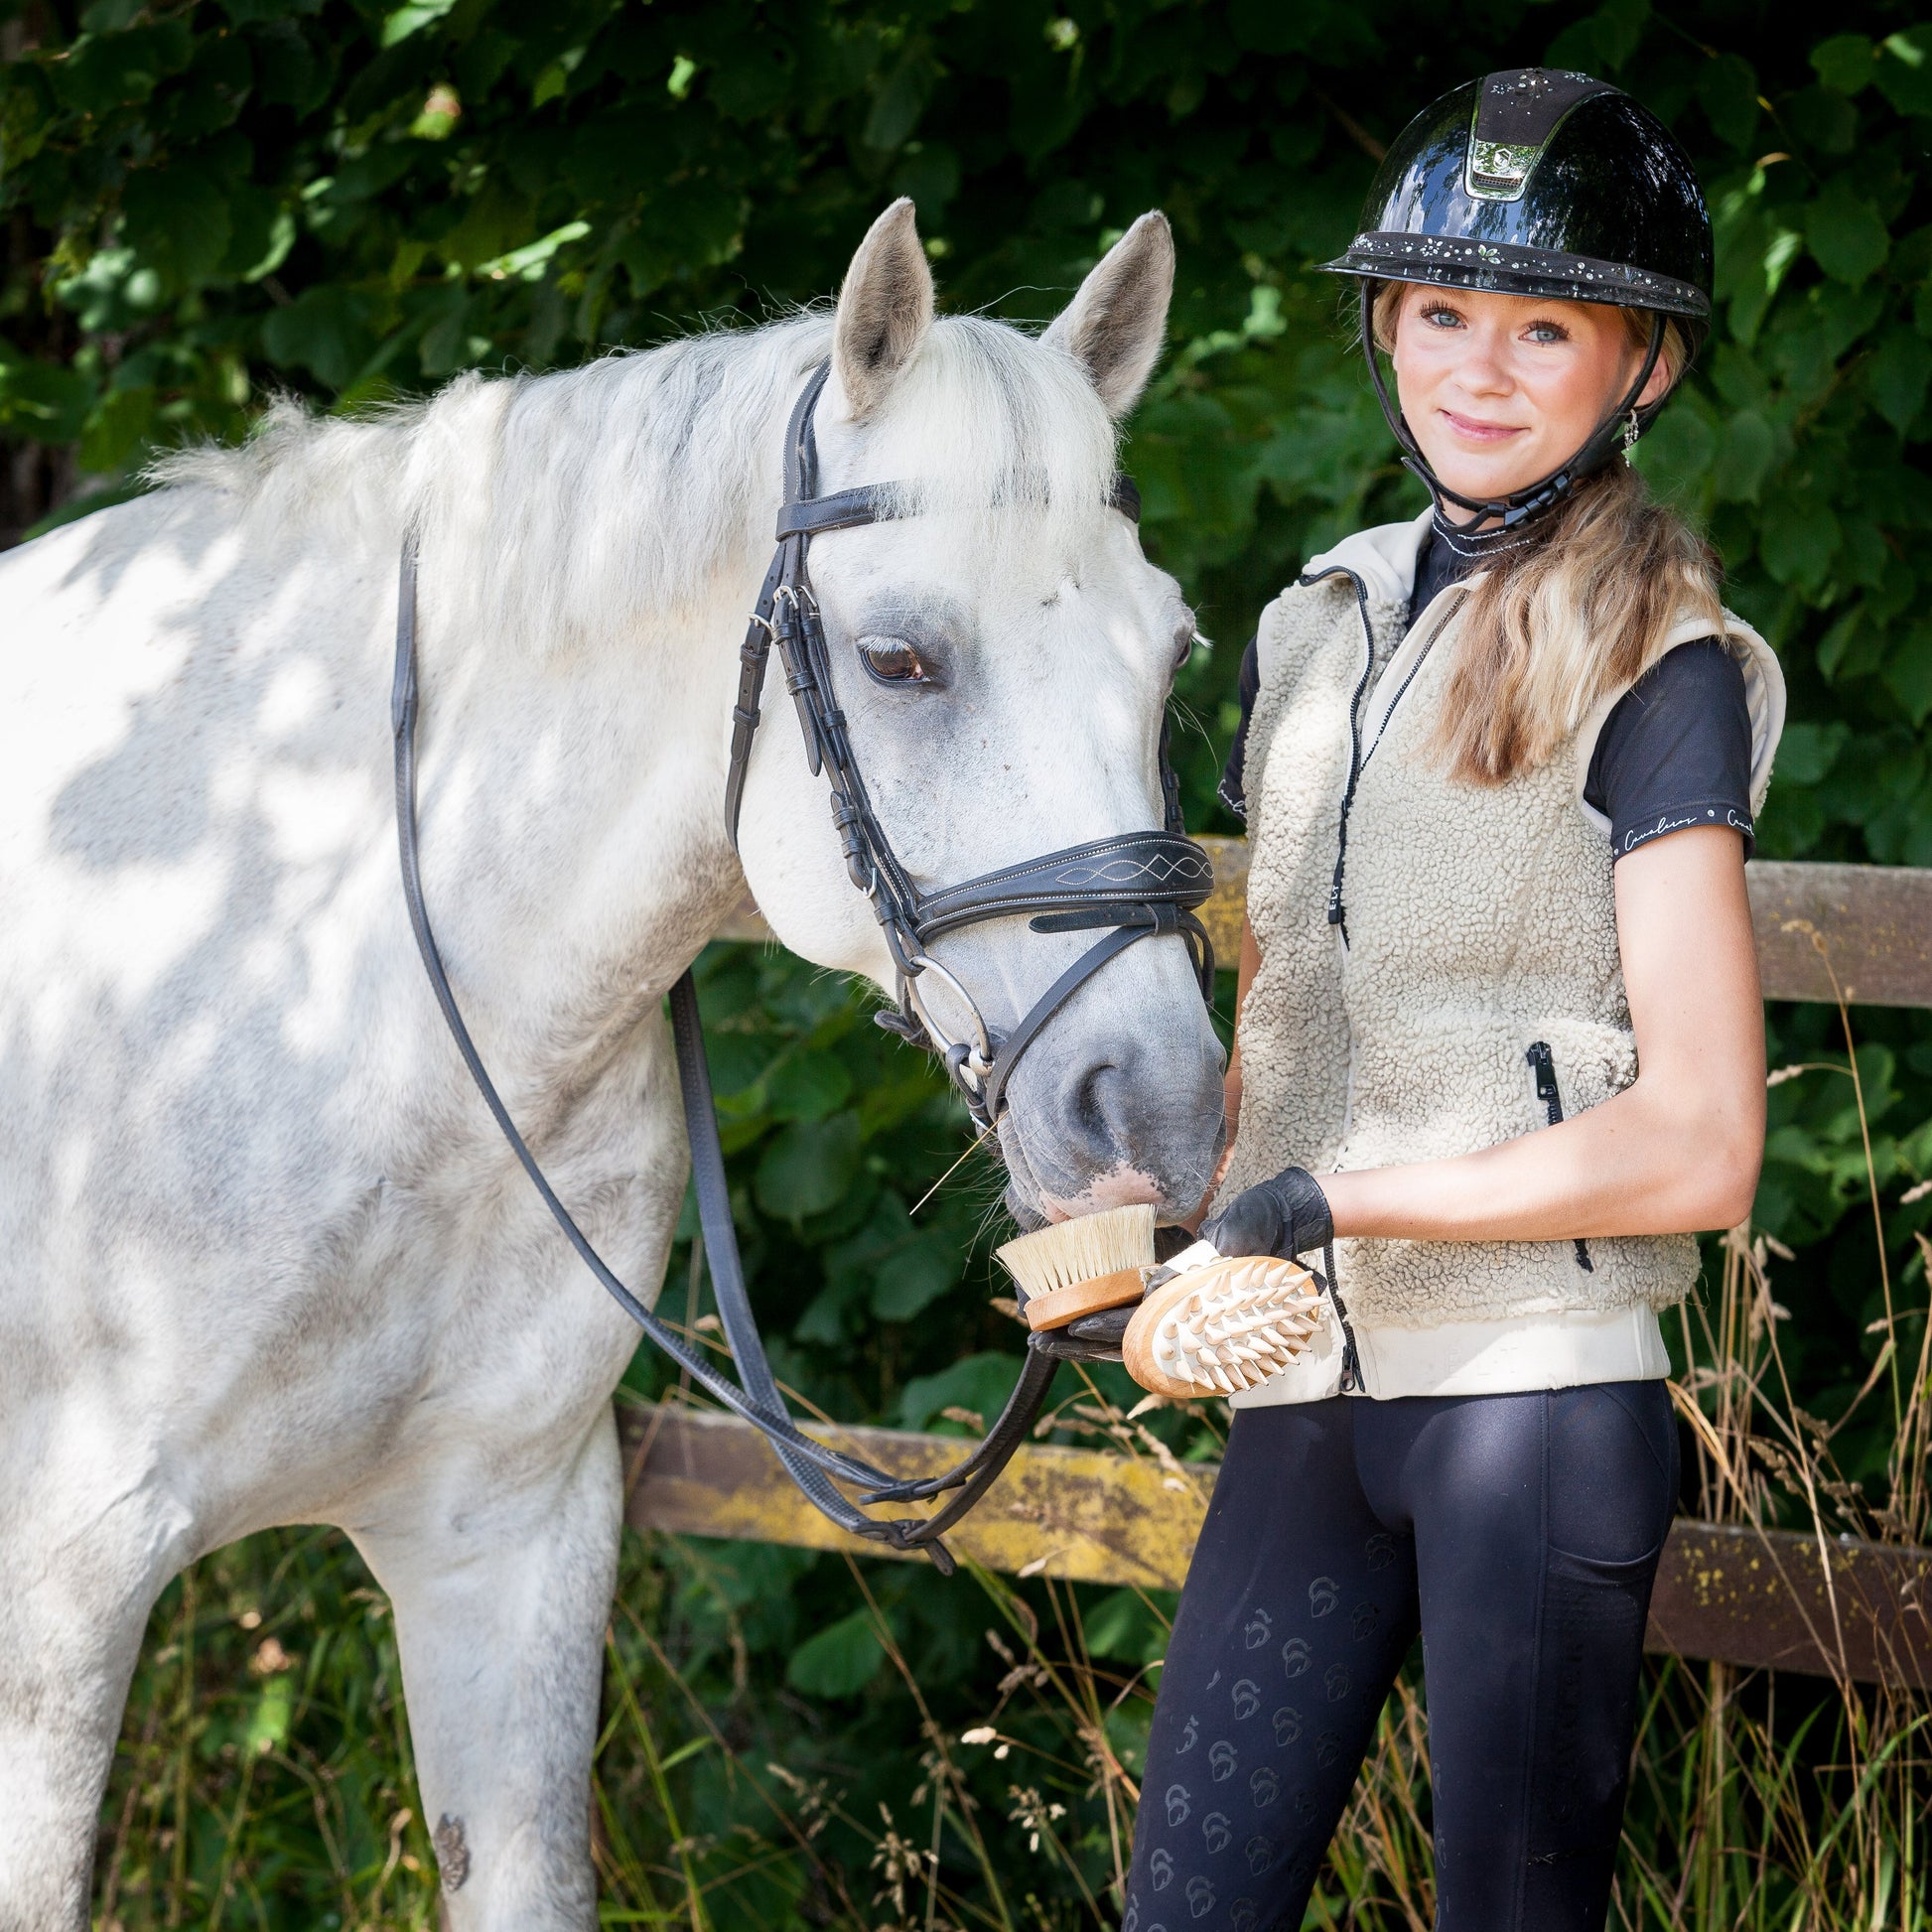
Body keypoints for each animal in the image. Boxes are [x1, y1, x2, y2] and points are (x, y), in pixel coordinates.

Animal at [0, 199, 1224, 1928]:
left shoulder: (508, 1538)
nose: (1160, 1108)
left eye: (1172, 648)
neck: (335, 987)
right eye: (899, 659)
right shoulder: (61, 1586)